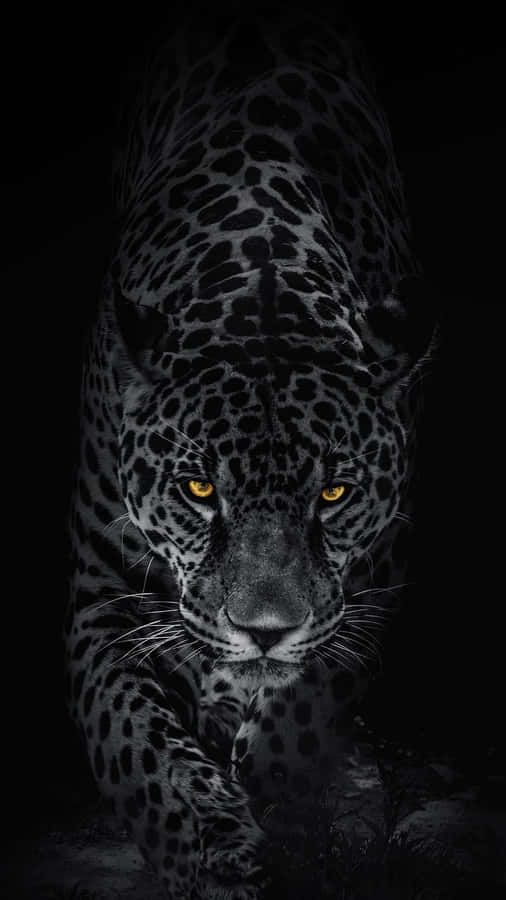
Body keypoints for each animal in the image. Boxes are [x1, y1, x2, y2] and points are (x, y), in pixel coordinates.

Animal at [66, 5, 435, 898]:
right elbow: (138, 751)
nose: (263, 629)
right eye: (198, 490)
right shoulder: (102, 600)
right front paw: (213, 854)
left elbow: (306, 707)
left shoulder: (377, 576)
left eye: (335, 495)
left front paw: (289, 813)